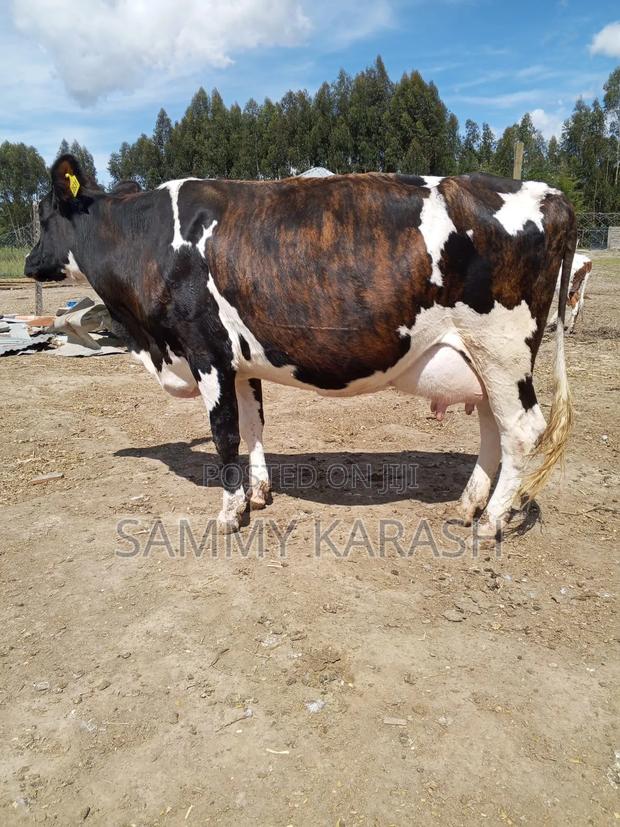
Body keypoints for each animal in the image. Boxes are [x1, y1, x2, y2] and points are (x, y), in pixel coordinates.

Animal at [25, 155, 576, 538]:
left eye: (43, 214)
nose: (29, 263)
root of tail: (546, 192)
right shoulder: (240, 361)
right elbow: (252, 426)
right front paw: (258, 494)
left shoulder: (206, 350)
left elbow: (224, 433)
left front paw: (229, 512)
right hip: (480, 358)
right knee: (492, 426)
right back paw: (469, 505)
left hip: (502, 349)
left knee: (521, 429)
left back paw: (490, 522)